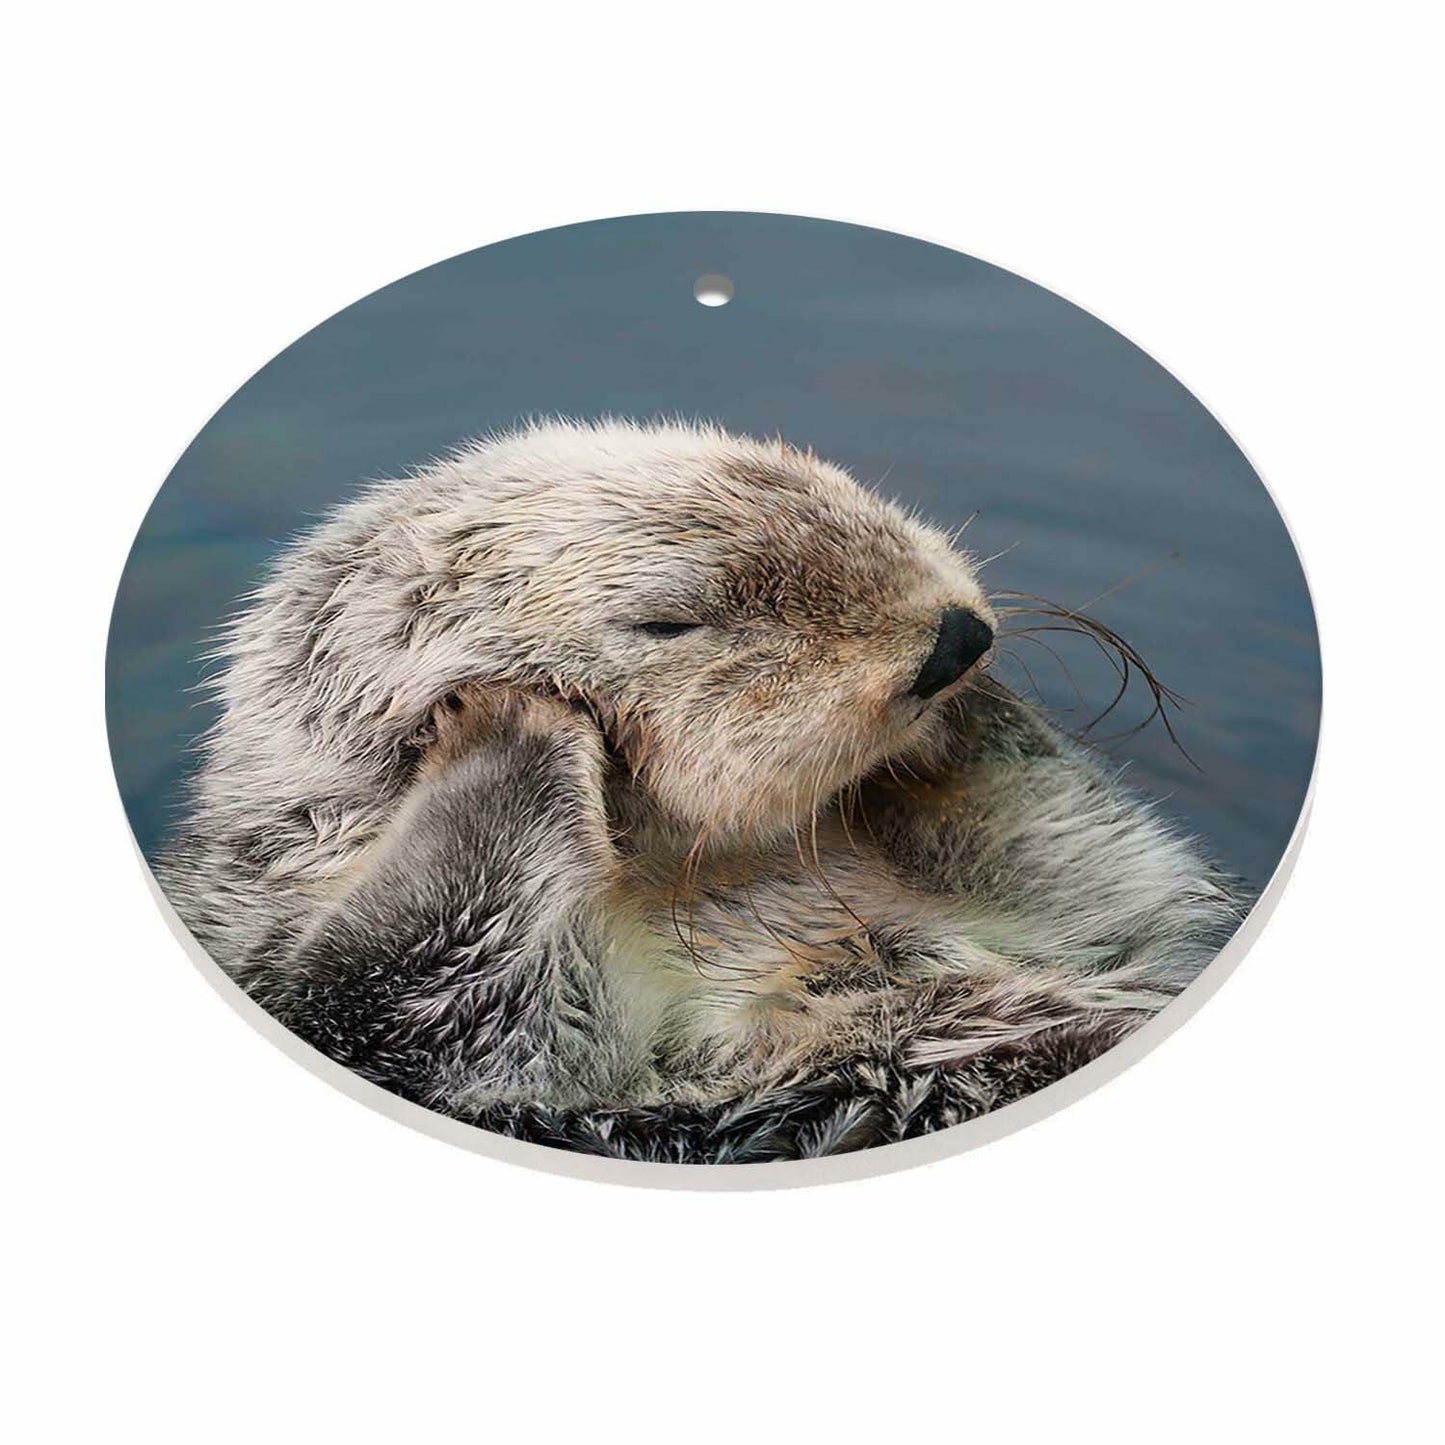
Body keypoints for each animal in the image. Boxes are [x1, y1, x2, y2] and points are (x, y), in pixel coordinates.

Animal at [161, 419, 1240, 1164]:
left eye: (834, 485)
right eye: (669, 622)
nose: (953, 640)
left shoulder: (1094, 915)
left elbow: (1095, 874)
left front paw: (958, 732)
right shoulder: (392, 1027)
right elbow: (426, 997)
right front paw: (509, 724)